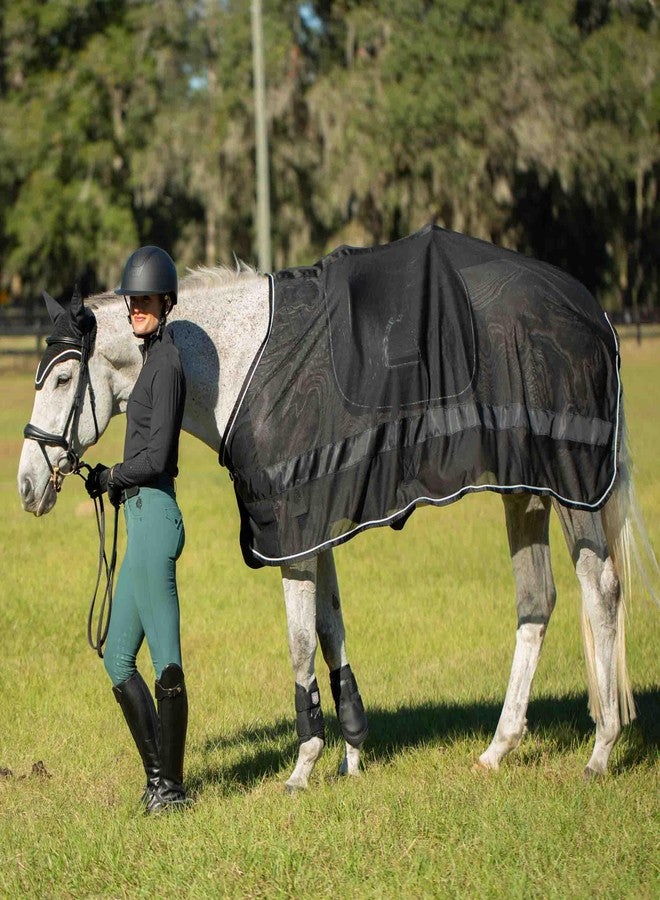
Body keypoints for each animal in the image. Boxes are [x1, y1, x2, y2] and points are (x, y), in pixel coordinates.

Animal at [17, 228, 655, 790]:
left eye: (64, 377)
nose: (26, 486)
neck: (243, 366)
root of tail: (592, 313)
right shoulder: (314, 530)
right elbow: (331, 630)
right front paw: (351, 753)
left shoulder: (293, 533)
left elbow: (302, 644)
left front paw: (303, 768)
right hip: (524, 491)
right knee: (536, 600)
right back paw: (498, 749)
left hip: (572, 486)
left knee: (600, 592)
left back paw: (601, 750)